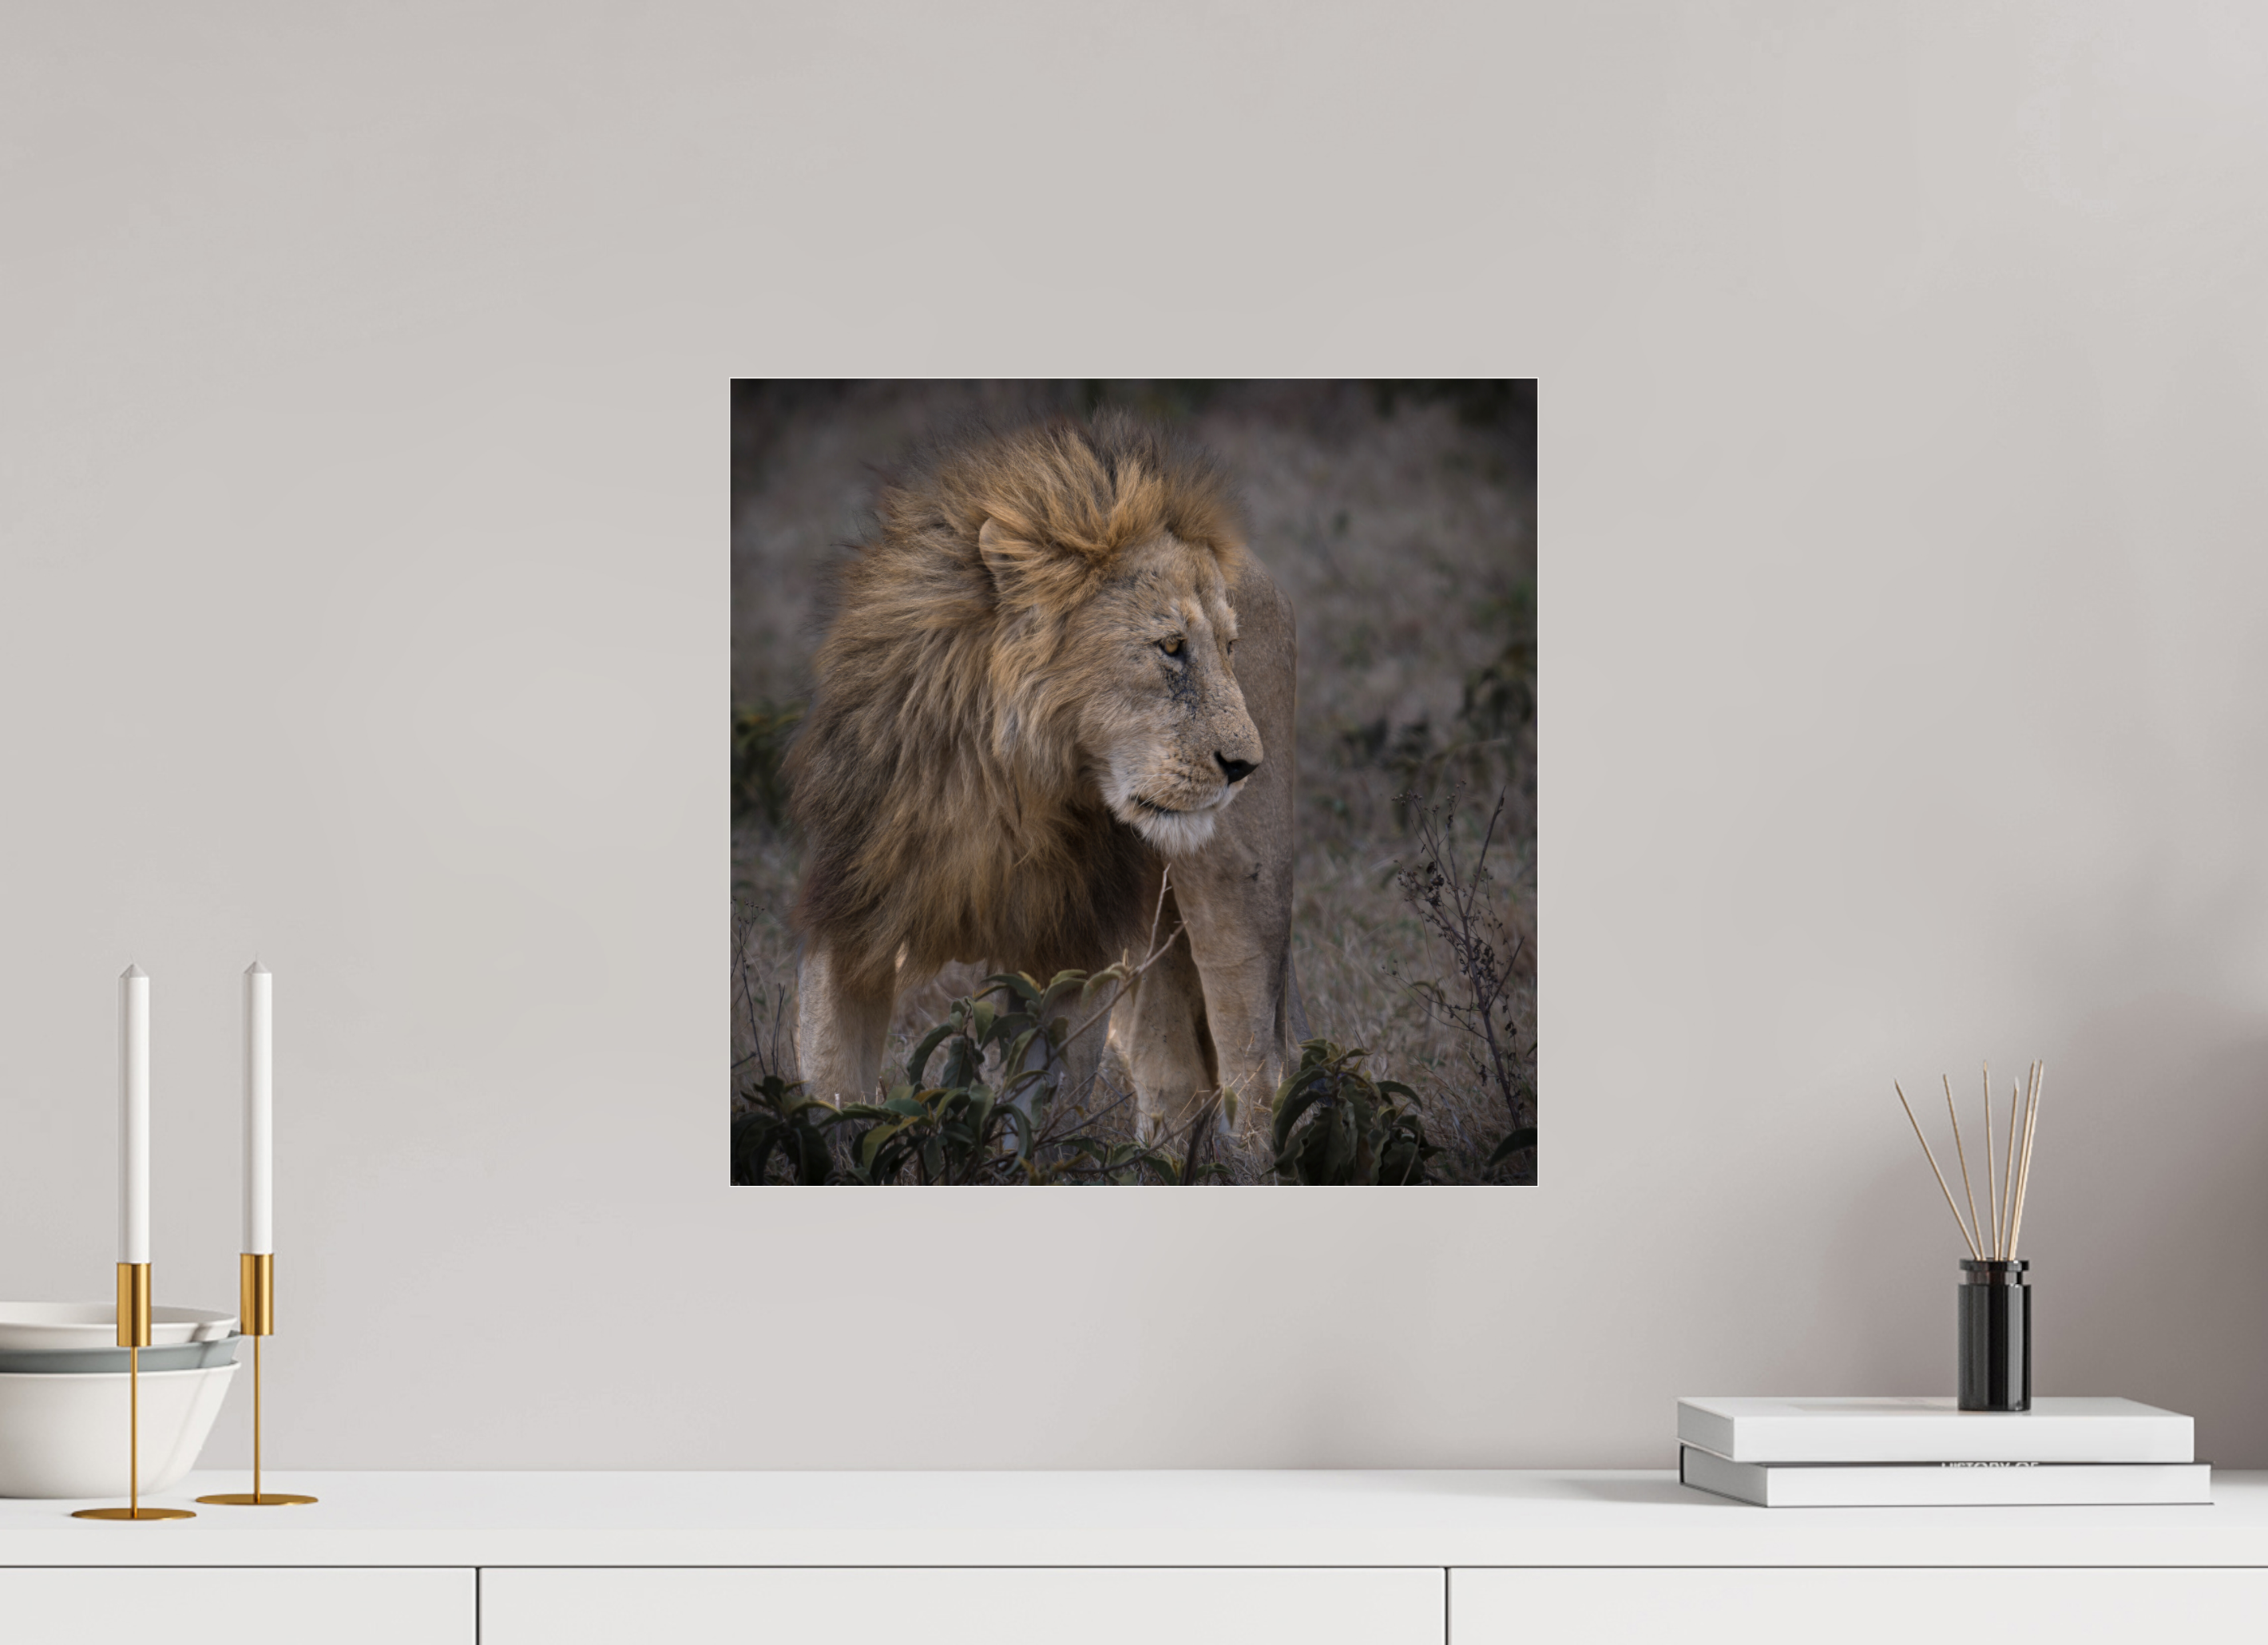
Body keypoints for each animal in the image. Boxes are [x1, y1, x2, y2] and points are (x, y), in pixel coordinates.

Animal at [787, 412, 1304, 1143]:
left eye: (1229, 650)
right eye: (1172, 647)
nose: (1244, 767)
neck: (999, 785)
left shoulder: (1069, 941)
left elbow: (1033, 1110)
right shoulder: (853, 908)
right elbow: (832, 1089)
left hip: (1241, 885)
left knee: (1253, 1068)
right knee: (1175, 1074)